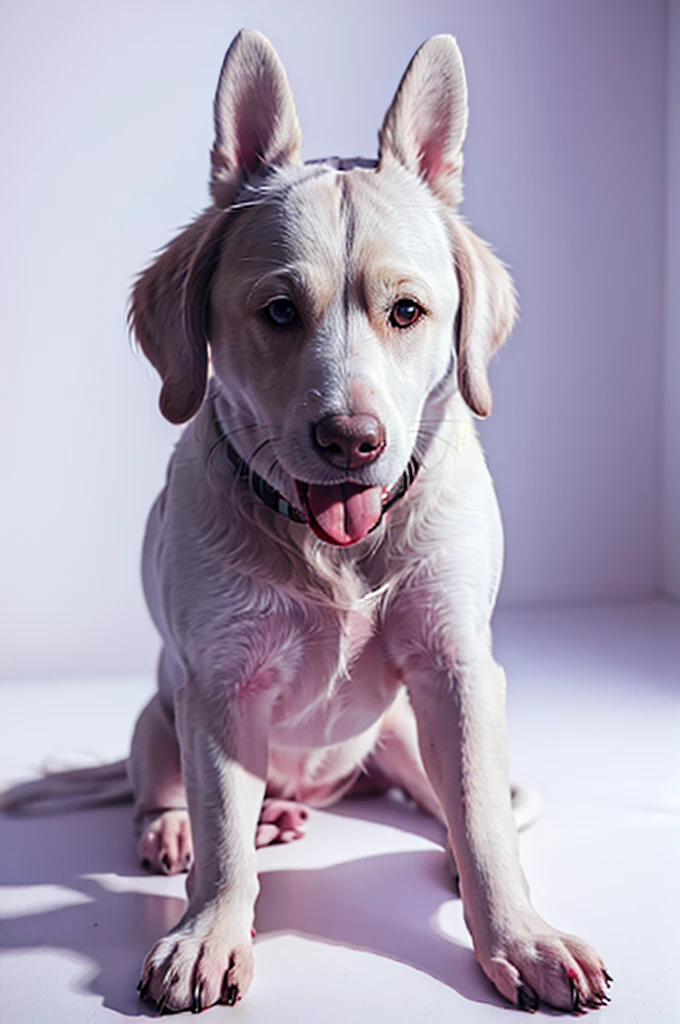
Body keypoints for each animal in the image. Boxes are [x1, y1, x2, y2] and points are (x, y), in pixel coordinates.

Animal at [2, 29, 614, 1015]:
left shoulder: (459, 670)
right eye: (279, 311)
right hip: (159, 716)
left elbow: (484, 823)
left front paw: (518, 936)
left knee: (451, 807)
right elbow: (224, 845)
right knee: (171, 799)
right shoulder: (218, 687)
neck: (338, 552)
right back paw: (187, 827)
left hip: (405, 738)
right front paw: (210, 929)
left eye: (408, 311)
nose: (352, 441)